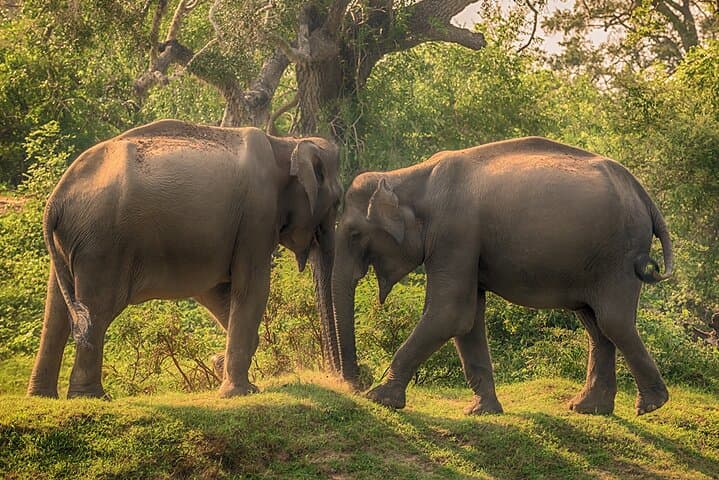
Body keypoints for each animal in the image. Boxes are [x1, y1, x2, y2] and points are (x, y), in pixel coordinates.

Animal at [27, 119, 342, 399]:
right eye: (338, 202)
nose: (341, 380)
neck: (285, 143)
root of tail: (55, 200)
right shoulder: (257, 214)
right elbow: (252, 287)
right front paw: (240, 392)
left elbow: (213, 291)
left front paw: (220, 367)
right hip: (101, 244)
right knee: (97, 309)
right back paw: (92, 397)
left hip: (72, 244)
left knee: (57, 310)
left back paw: (43, 396)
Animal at [331, 136, 673, 416]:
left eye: (354, 233)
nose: (355, 384)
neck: (407, 176)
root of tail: (644, 196)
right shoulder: (465, 244)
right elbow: (467, 318)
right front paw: (482, 410)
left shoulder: (455, 232)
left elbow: (449, 312)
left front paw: (379, 398)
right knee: (596, 323)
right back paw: (589, 408)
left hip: (620, 256)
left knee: (612, 321)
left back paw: (650, 405)